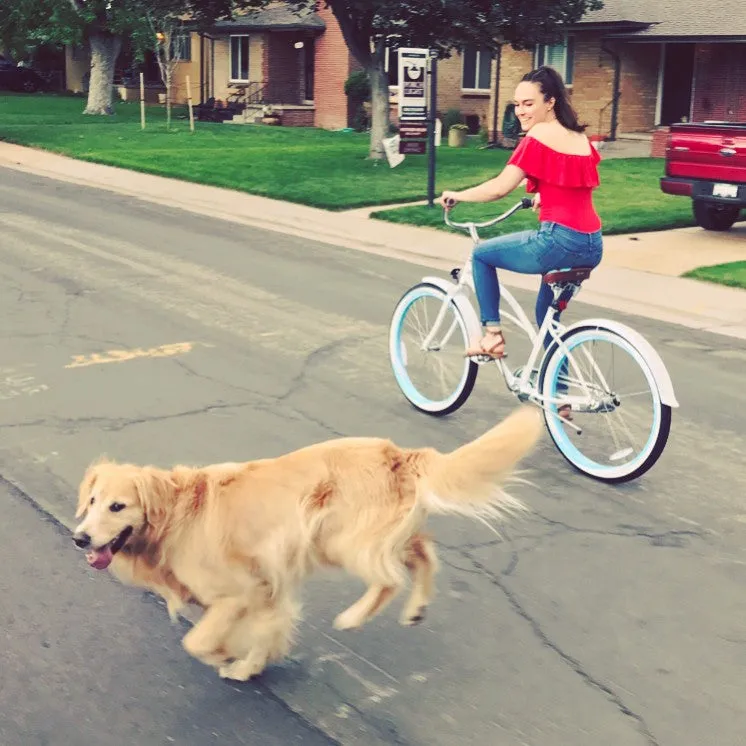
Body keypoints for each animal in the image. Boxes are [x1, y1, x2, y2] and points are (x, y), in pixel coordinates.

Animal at [71, 404, 540, 676]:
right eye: (91, 501)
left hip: (340, 539)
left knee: (389, 577)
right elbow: (265, 630)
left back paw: (354, 617)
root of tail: (399, 454)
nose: (79, 538)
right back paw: (416, 609)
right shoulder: (269, 588)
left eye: (118, 507)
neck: (175, 517)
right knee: (423, 550)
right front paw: (248, 666)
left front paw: (226, 658)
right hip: (362, 534)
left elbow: (197, 641)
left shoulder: (242, 591)